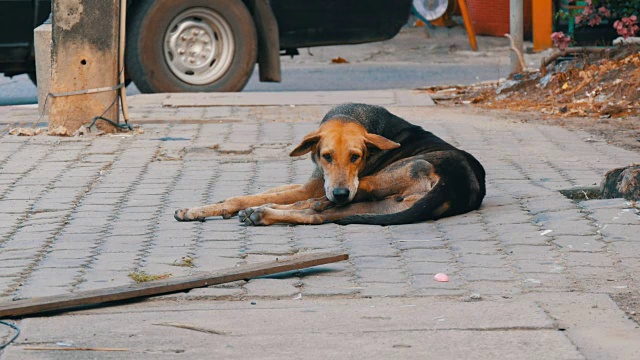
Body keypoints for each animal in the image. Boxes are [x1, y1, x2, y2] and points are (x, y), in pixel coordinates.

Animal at [175, 102, 484, 225]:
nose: (340, 192)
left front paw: (202, 209)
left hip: (376, 182)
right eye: (326, 156)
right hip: (374, 208)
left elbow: (244, 197)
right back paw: (264, 214)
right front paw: (207, 207)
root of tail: (456, 184)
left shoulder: (313, 187)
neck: (350, 116)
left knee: (315, 206)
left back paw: (263, 212)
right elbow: (264, 191)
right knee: (318, 214)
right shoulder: (314, 182)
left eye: (356, 157)